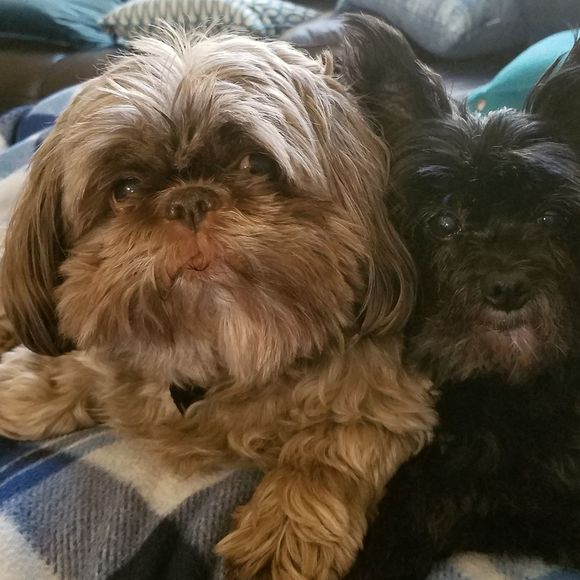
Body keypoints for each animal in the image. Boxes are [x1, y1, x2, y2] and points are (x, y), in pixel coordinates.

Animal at [0, 27, 436, 579]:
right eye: (125, 188)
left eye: (256, 164)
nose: (189, 201)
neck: (218, 351)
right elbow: (76, 366)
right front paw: (28, 386)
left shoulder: (384, 401)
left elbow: (324, 455)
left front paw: (282, 531)